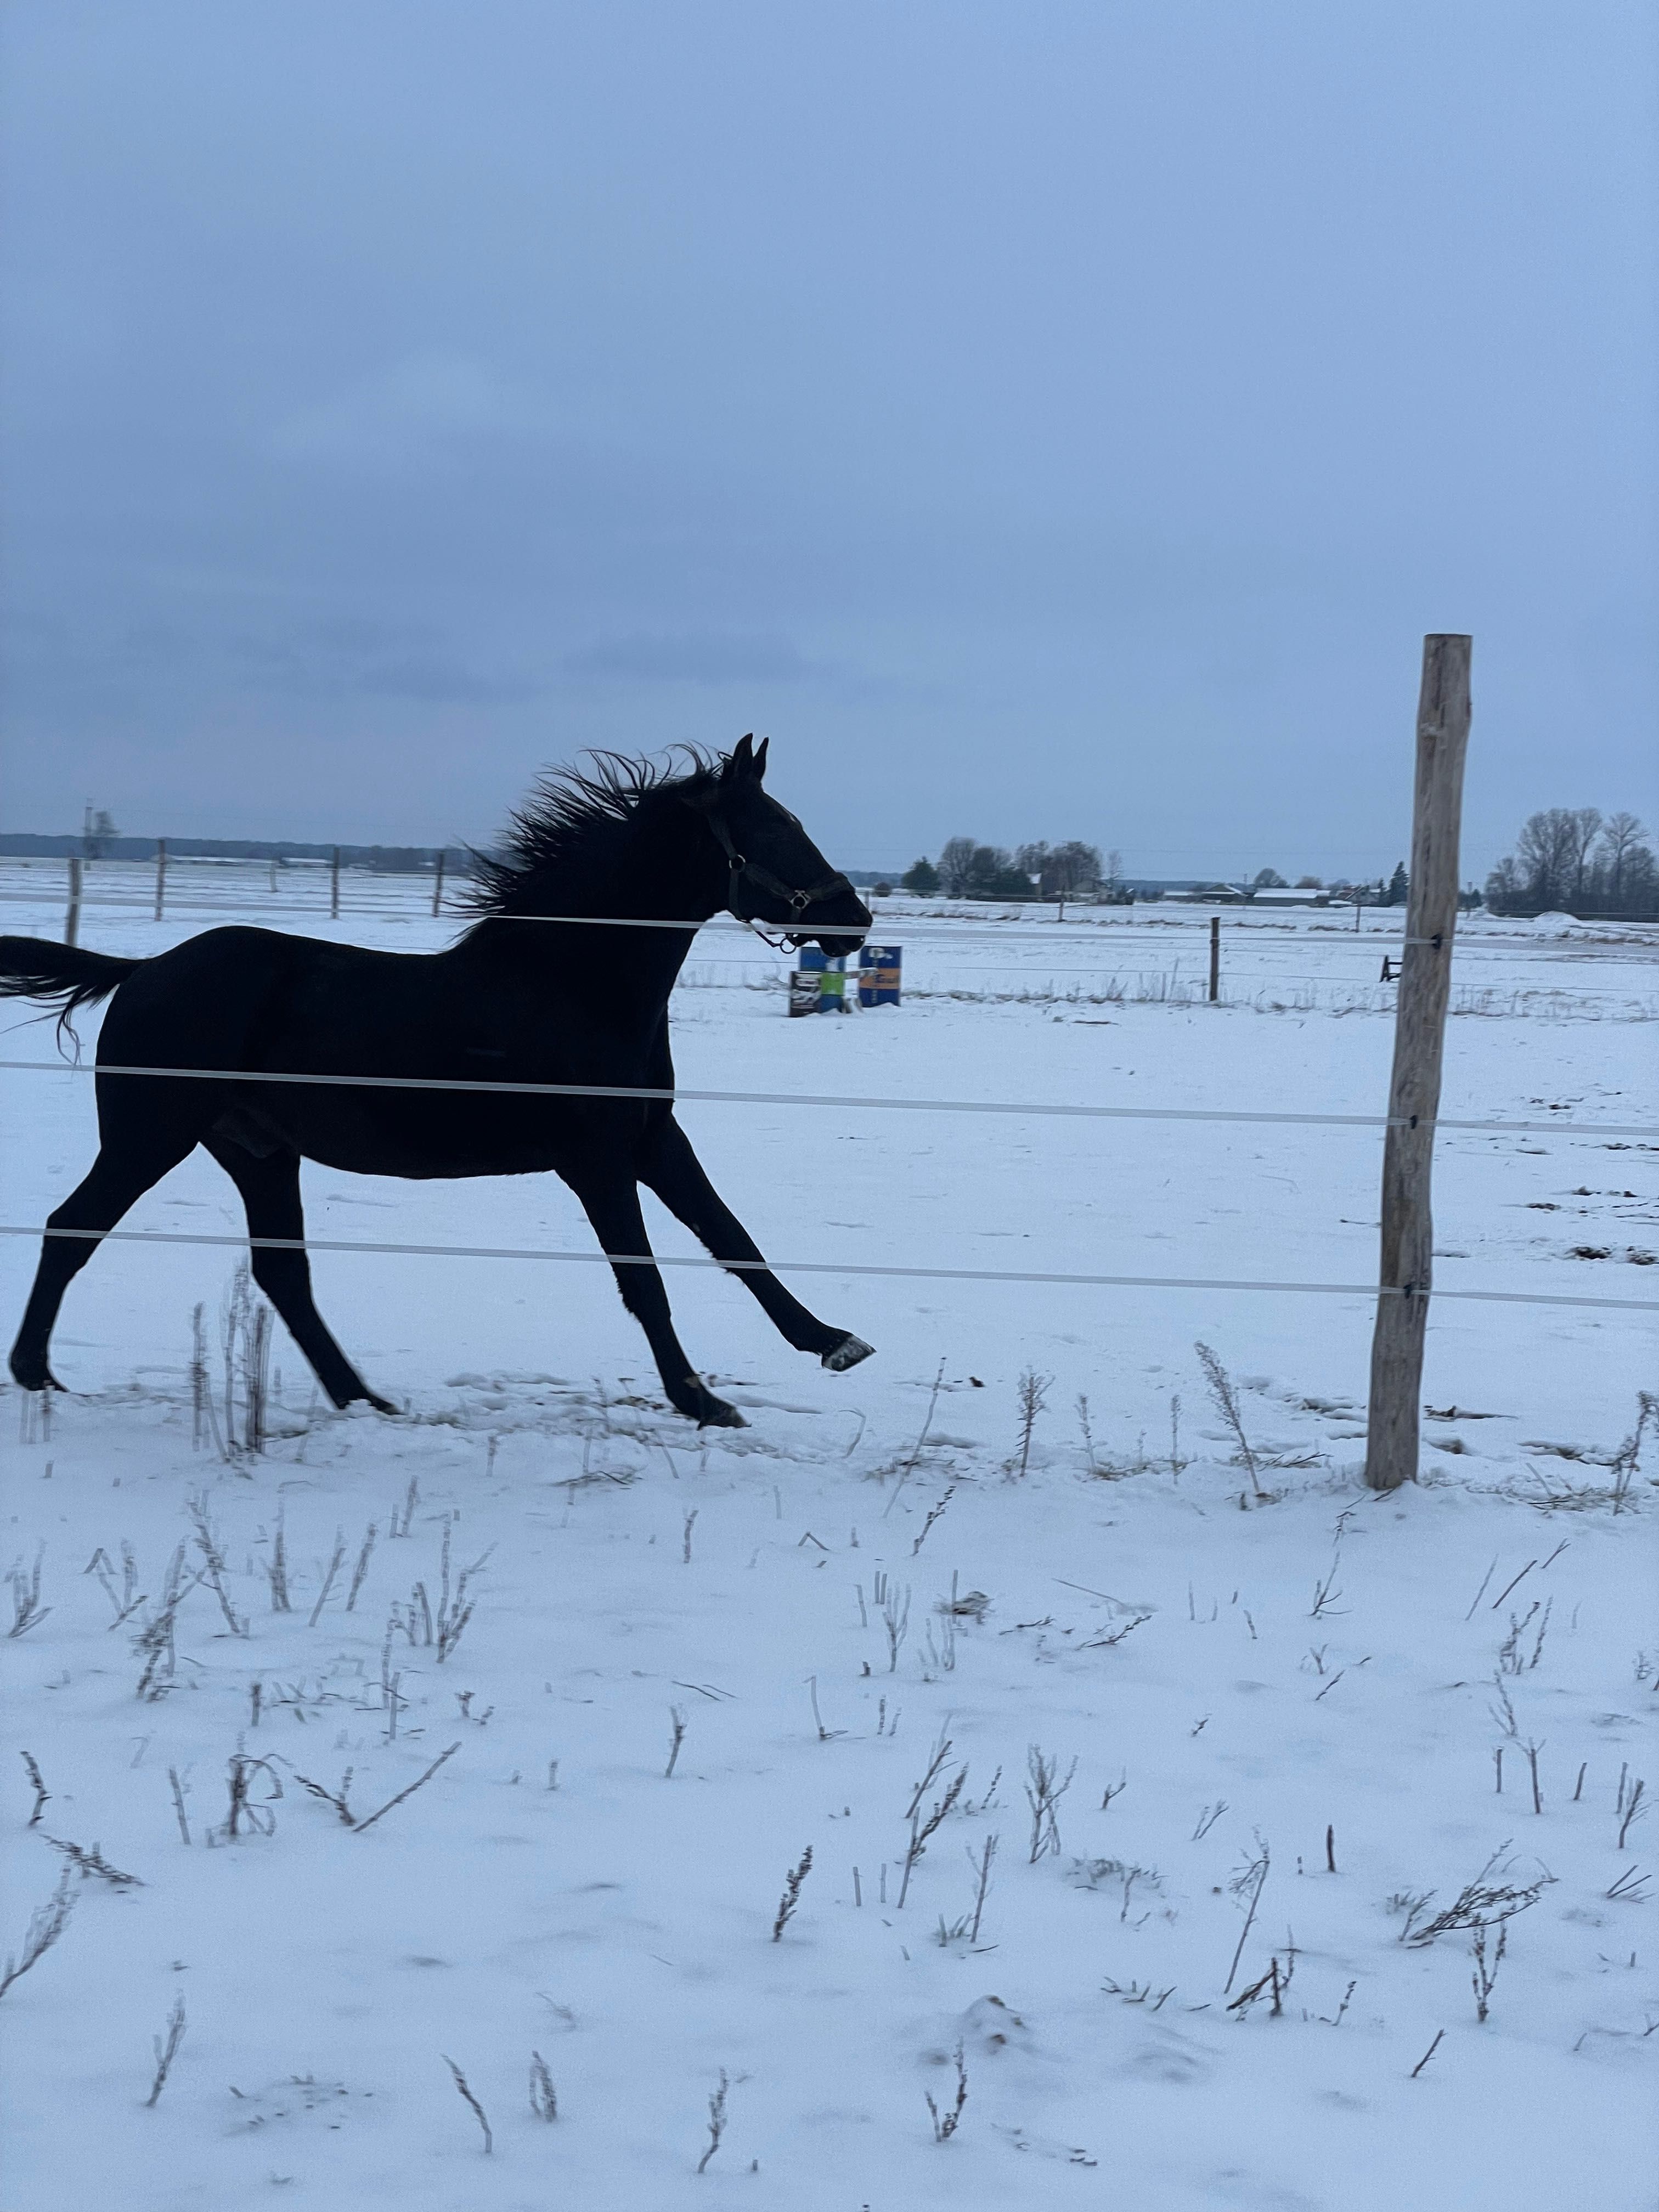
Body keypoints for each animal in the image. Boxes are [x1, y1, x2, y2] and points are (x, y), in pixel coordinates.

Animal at [0, 738, 876, 1433]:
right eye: (776, 830)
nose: (855, 921)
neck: (574, 984)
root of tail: (142, 970)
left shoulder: (653, 1140)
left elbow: (734, 1239)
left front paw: (834, 1342)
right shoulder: (594, 1160)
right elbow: (644, 1280)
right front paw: (702, 1400)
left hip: (256, 1151)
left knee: (284, 1274)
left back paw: (366, 1401)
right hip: (152, 1136)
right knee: (72, 1228)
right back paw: (38, 1377)